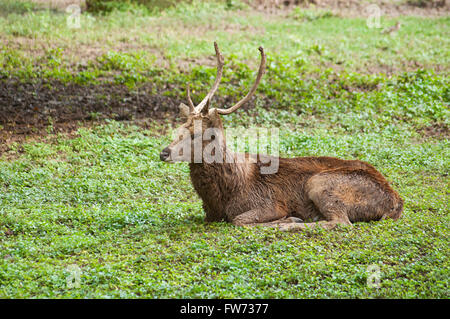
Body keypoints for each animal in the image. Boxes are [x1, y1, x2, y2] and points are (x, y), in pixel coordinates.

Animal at [159, 43, 404, 232]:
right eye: (179, 128)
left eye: (196, 134)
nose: (164, 152)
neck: (223, 196)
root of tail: (395, 202)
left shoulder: (271, 203)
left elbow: (239, 220)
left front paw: (289, 218)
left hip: (320, 183)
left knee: (341, 222)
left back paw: (290, 224)